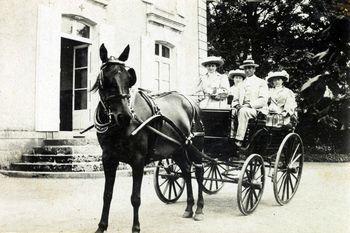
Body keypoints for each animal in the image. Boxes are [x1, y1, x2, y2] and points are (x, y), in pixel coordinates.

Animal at [91, 44, 205, 233]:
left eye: (128, 78)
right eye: (105, 79)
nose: (124, 116)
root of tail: (191, 102)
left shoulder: (138, 161)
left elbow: (135, 198)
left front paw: (136, 227)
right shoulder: (108, 158)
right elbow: (107, 195)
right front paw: (101, 226)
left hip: (193, 146)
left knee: (199, 171)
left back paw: (199, 209)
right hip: (177, 150)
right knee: (186, 171)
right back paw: (189, 207)